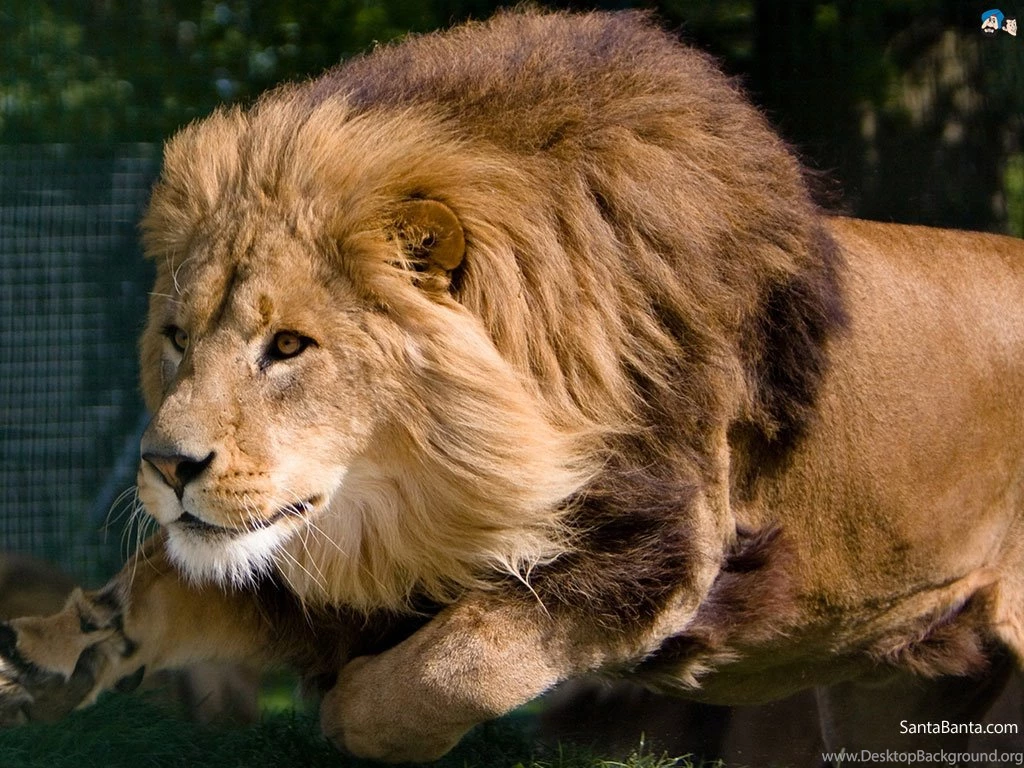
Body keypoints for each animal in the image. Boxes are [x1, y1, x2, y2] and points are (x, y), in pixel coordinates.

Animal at [0, 9, 1022, 765]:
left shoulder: (666, 546)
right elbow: (160, 583)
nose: (164, 465)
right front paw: (48, 658)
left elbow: (459, 661)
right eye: (177, 339)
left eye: (288, 346)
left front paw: (352, 701)